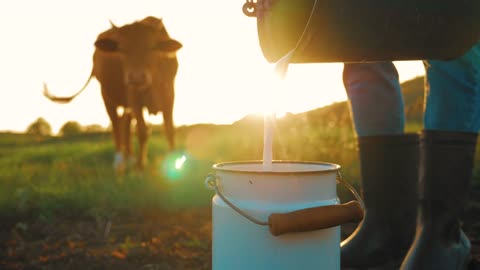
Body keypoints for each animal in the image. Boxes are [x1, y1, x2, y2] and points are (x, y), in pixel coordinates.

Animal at [44, 16, 183, 171]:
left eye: (152, 47)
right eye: (122, 49)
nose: (137, 77)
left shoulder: (169, 95)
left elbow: (169, 129)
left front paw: (173, 162)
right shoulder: (134, 97)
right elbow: (142, 131)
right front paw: (140, 166)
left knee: (125, 125)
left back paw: (129, 158)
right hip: (106, 96)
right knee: (117, 125)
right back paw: (119, 162)